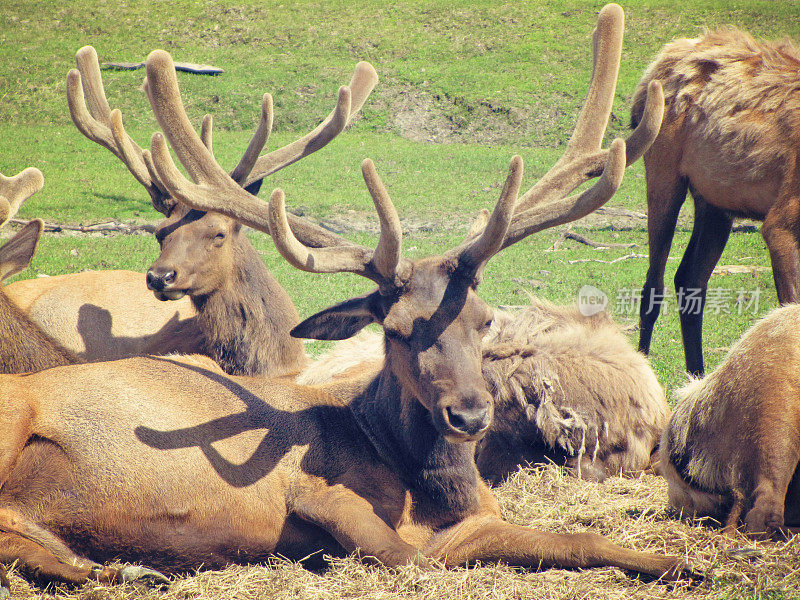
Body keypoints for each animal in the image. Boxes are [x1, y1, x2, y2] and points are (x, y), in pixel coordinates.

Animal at [636, 29, 800, 376]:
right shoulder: (780, 223)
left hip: (714, 200)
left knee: (690, 280)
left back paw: (696, 378)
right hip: (663, 174)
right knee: (653, 287)